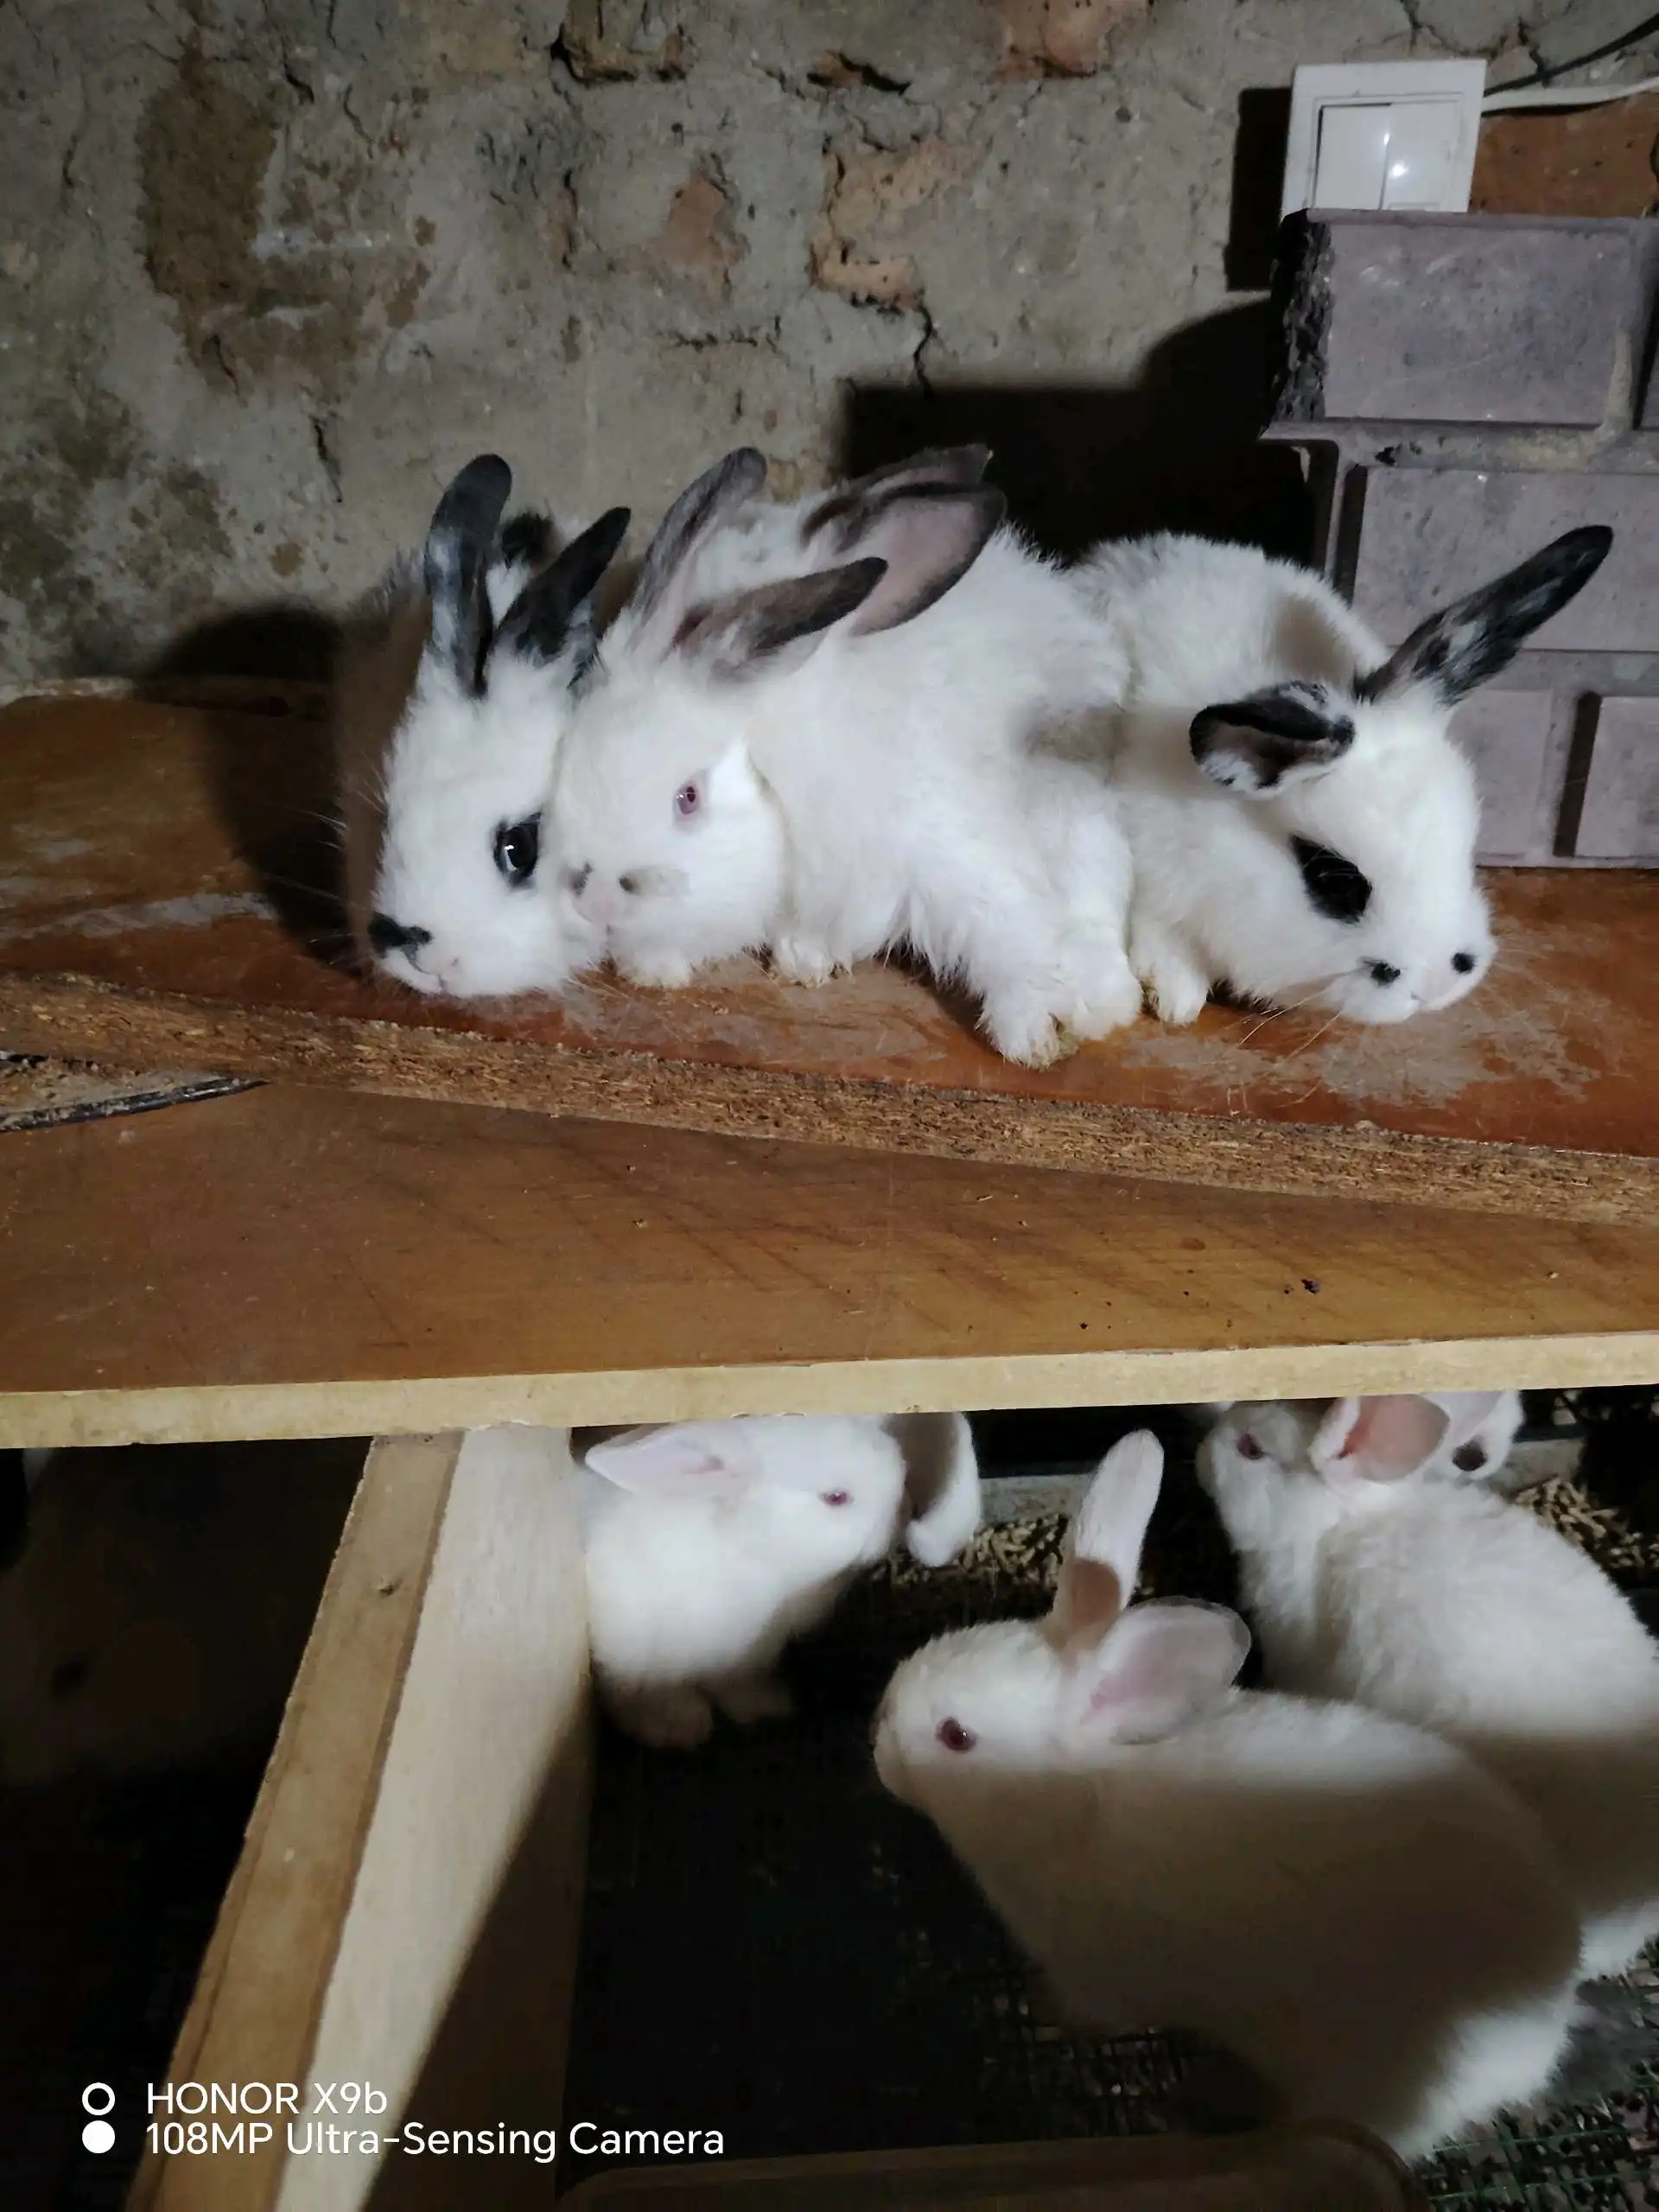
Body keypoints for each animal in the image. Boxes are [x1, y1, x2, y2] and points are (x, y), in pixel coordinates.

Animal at [548, 445, 1143, 1066]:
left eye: (688, 798)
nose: (597, 902)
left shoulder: (939, 838)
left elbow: (1006, 927)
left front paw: (1035, 1033)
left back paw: (1101, 1004)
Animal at [579, 1412, 981, 1749]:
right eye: (836, 1498)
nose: (905, 1510)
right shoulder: (633, 1656)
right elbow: (644, 1695)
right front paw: (678, 1728)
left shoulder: (742, 1660)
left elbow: (738, 1686)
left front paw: (767, 1707)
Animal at [876, 1430, 1586, 2157]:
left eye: (957, 1736)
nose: (878, 1751)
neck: (1072, 1800)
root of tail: (1545, 2029)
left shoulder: (1100, 1976)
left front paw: (1044, 2010)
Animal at [1075, 525, 1612, 1026]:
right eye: (1333, 880)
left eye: (1465, 849)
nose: (1434, 986)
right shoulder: (1156, 877)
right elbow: (1162, 936)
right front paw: (1177, 1000)